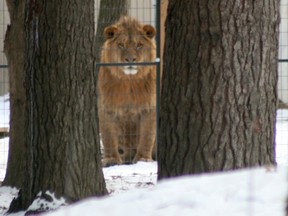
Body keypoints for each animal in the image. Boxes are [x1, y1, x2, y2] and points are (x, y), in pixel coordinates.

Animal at [98, 16, 158, 167]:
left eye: (139, 45)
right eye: (121, 45)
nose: (130, 59)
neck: (129, 82)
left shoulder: (150, 107)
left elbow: (147, 136)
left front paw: (143, 160)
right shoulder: (106, 107)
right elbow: (108, 136)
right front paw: (111, 160)